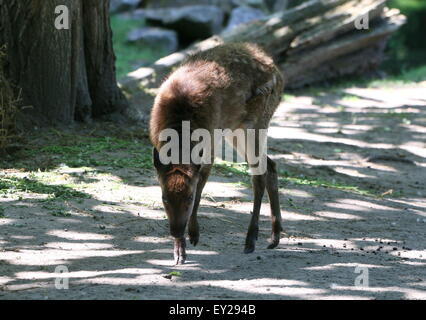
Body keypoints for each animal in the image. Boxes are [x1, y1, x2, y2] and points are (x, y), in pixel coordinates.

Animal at [148, 42, 284, 264]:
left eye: (189, 198)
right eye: (164, 198)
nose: (176, 231)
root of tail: (277, 70)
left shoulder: (211, 138)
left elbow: (202, 180)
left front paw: (193, 235)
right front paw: (179, 252)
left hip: (257, 122)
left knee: (258, 175)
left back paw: (251, 240)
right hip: (235, 130)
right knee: (270, 165)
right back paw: (274, 237)